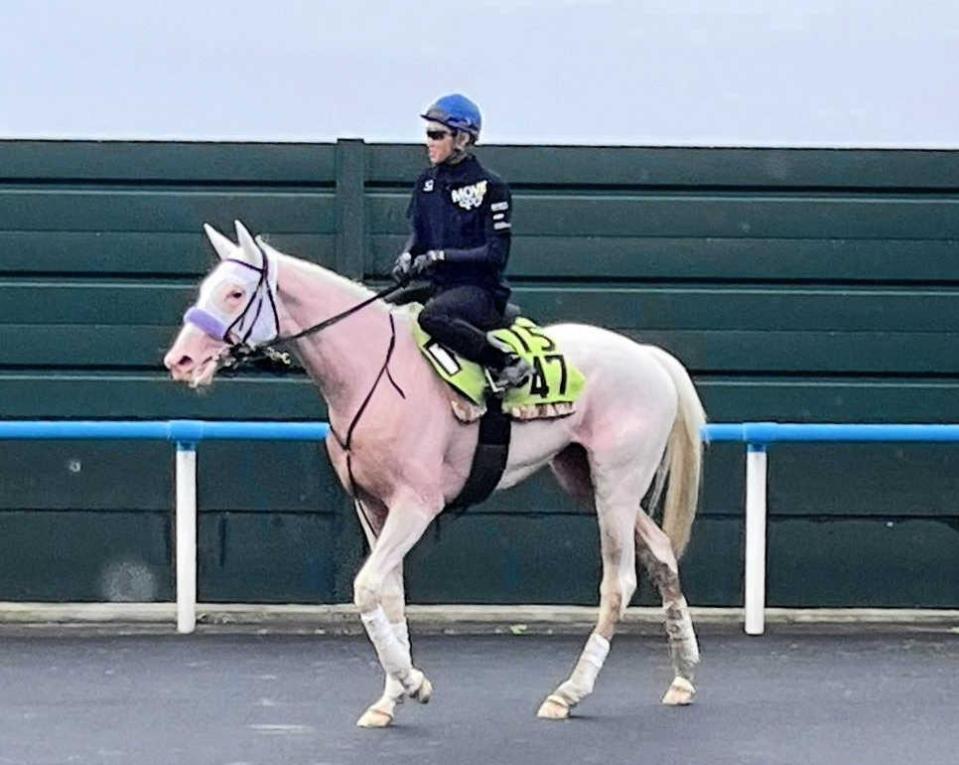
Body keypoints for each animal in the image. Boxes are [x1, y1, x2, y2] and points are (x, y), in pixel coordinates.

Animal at [163, 220, 706, 728]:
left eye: (235, 293)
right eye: (207, 289)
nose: (180, 360)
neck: (372, 371)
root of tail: (647, 358)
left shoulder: (416, 506)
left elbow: (366, 588)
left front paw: (413, 683)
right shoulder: (372, 507)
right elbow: (390, 596)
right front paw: (389, 698)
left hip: (616, 486)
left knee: (619, 583)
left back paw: (569, 692)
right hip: (586, 480)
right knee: (661, 554)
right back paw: (683, 677)